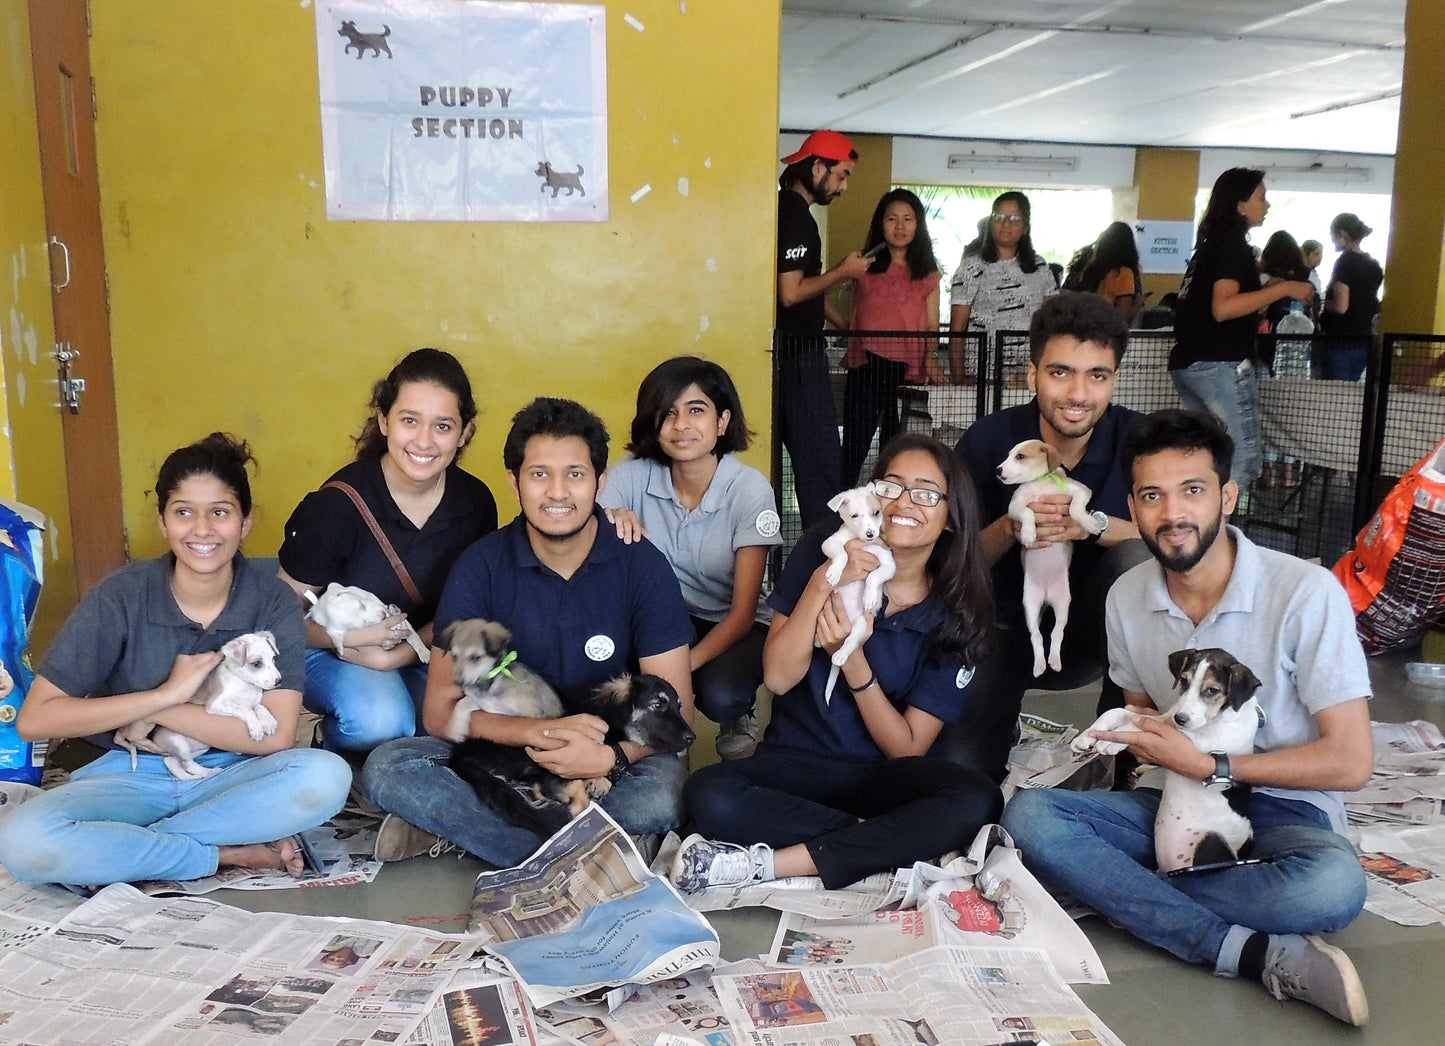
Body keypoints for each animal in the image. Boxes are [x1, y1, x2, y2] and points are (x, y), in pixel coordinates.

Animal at [115, 629, 284, 774]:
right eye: (257, 664)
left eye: (273, 658)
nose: (279, 681)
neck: (244, 684)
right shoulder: (215, 704)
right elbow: (246, 710)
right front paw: (256, 728)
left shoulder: (254, 701)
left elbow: (259, 707)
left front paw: (268, 722)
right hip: (179, 743)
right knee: (187, 765)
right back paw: (209, 772)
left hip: (200, 747)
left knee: (172, 761)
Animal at [820, 485, 895, 702]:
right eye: (854, 516)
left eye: (876, 512)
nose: (870, 534)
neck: (862, 542)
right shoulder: (830, 543)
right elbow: (843, 554)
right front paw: (835, 572)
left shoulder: (888, 564)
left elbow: (874, 576)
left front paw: (870, 596)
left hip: (861, 625)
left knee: (851, 641)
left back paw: (840, 654)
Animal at [994, 436, 1103, 673]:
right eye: (1008, 455)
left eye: (1020, 456)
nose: (998, 470)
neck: (1041, 482)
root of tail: (1046, 596)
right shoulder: (1016, 506)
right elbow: (1028, 512)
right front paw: (1028, 533)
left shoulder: (1081, 491)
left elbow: (1074, 508)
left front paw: (1088, 522)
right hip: (1030, 605)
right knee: (1036, 636)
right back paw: (1040, 664)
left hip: (1063, 606)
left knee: (1056, 633)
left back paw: (1054, 659)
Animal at [1075, 644, 1265, 872]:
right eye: (1184, 680)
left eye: (1212, 690)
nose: (1180, 718)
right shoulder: (1163, 717)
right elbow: (1117, 712)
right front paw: (1086, 737)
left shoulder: (1197, 740)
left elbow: (1144, 726)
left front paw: (1111, 741)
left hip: (1210, 843)